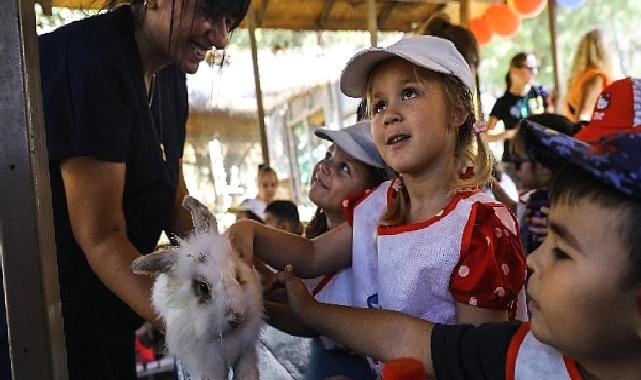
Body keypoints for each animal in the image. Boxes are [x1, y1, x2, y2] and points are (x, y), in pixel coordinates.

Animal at [132, 196, 262, 380]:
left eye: (237, 275)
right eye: (203, 287)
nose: (237, 317)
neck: (227, 337)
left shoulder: (246, 351)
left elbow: (246, 370)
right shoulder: (208, 364)